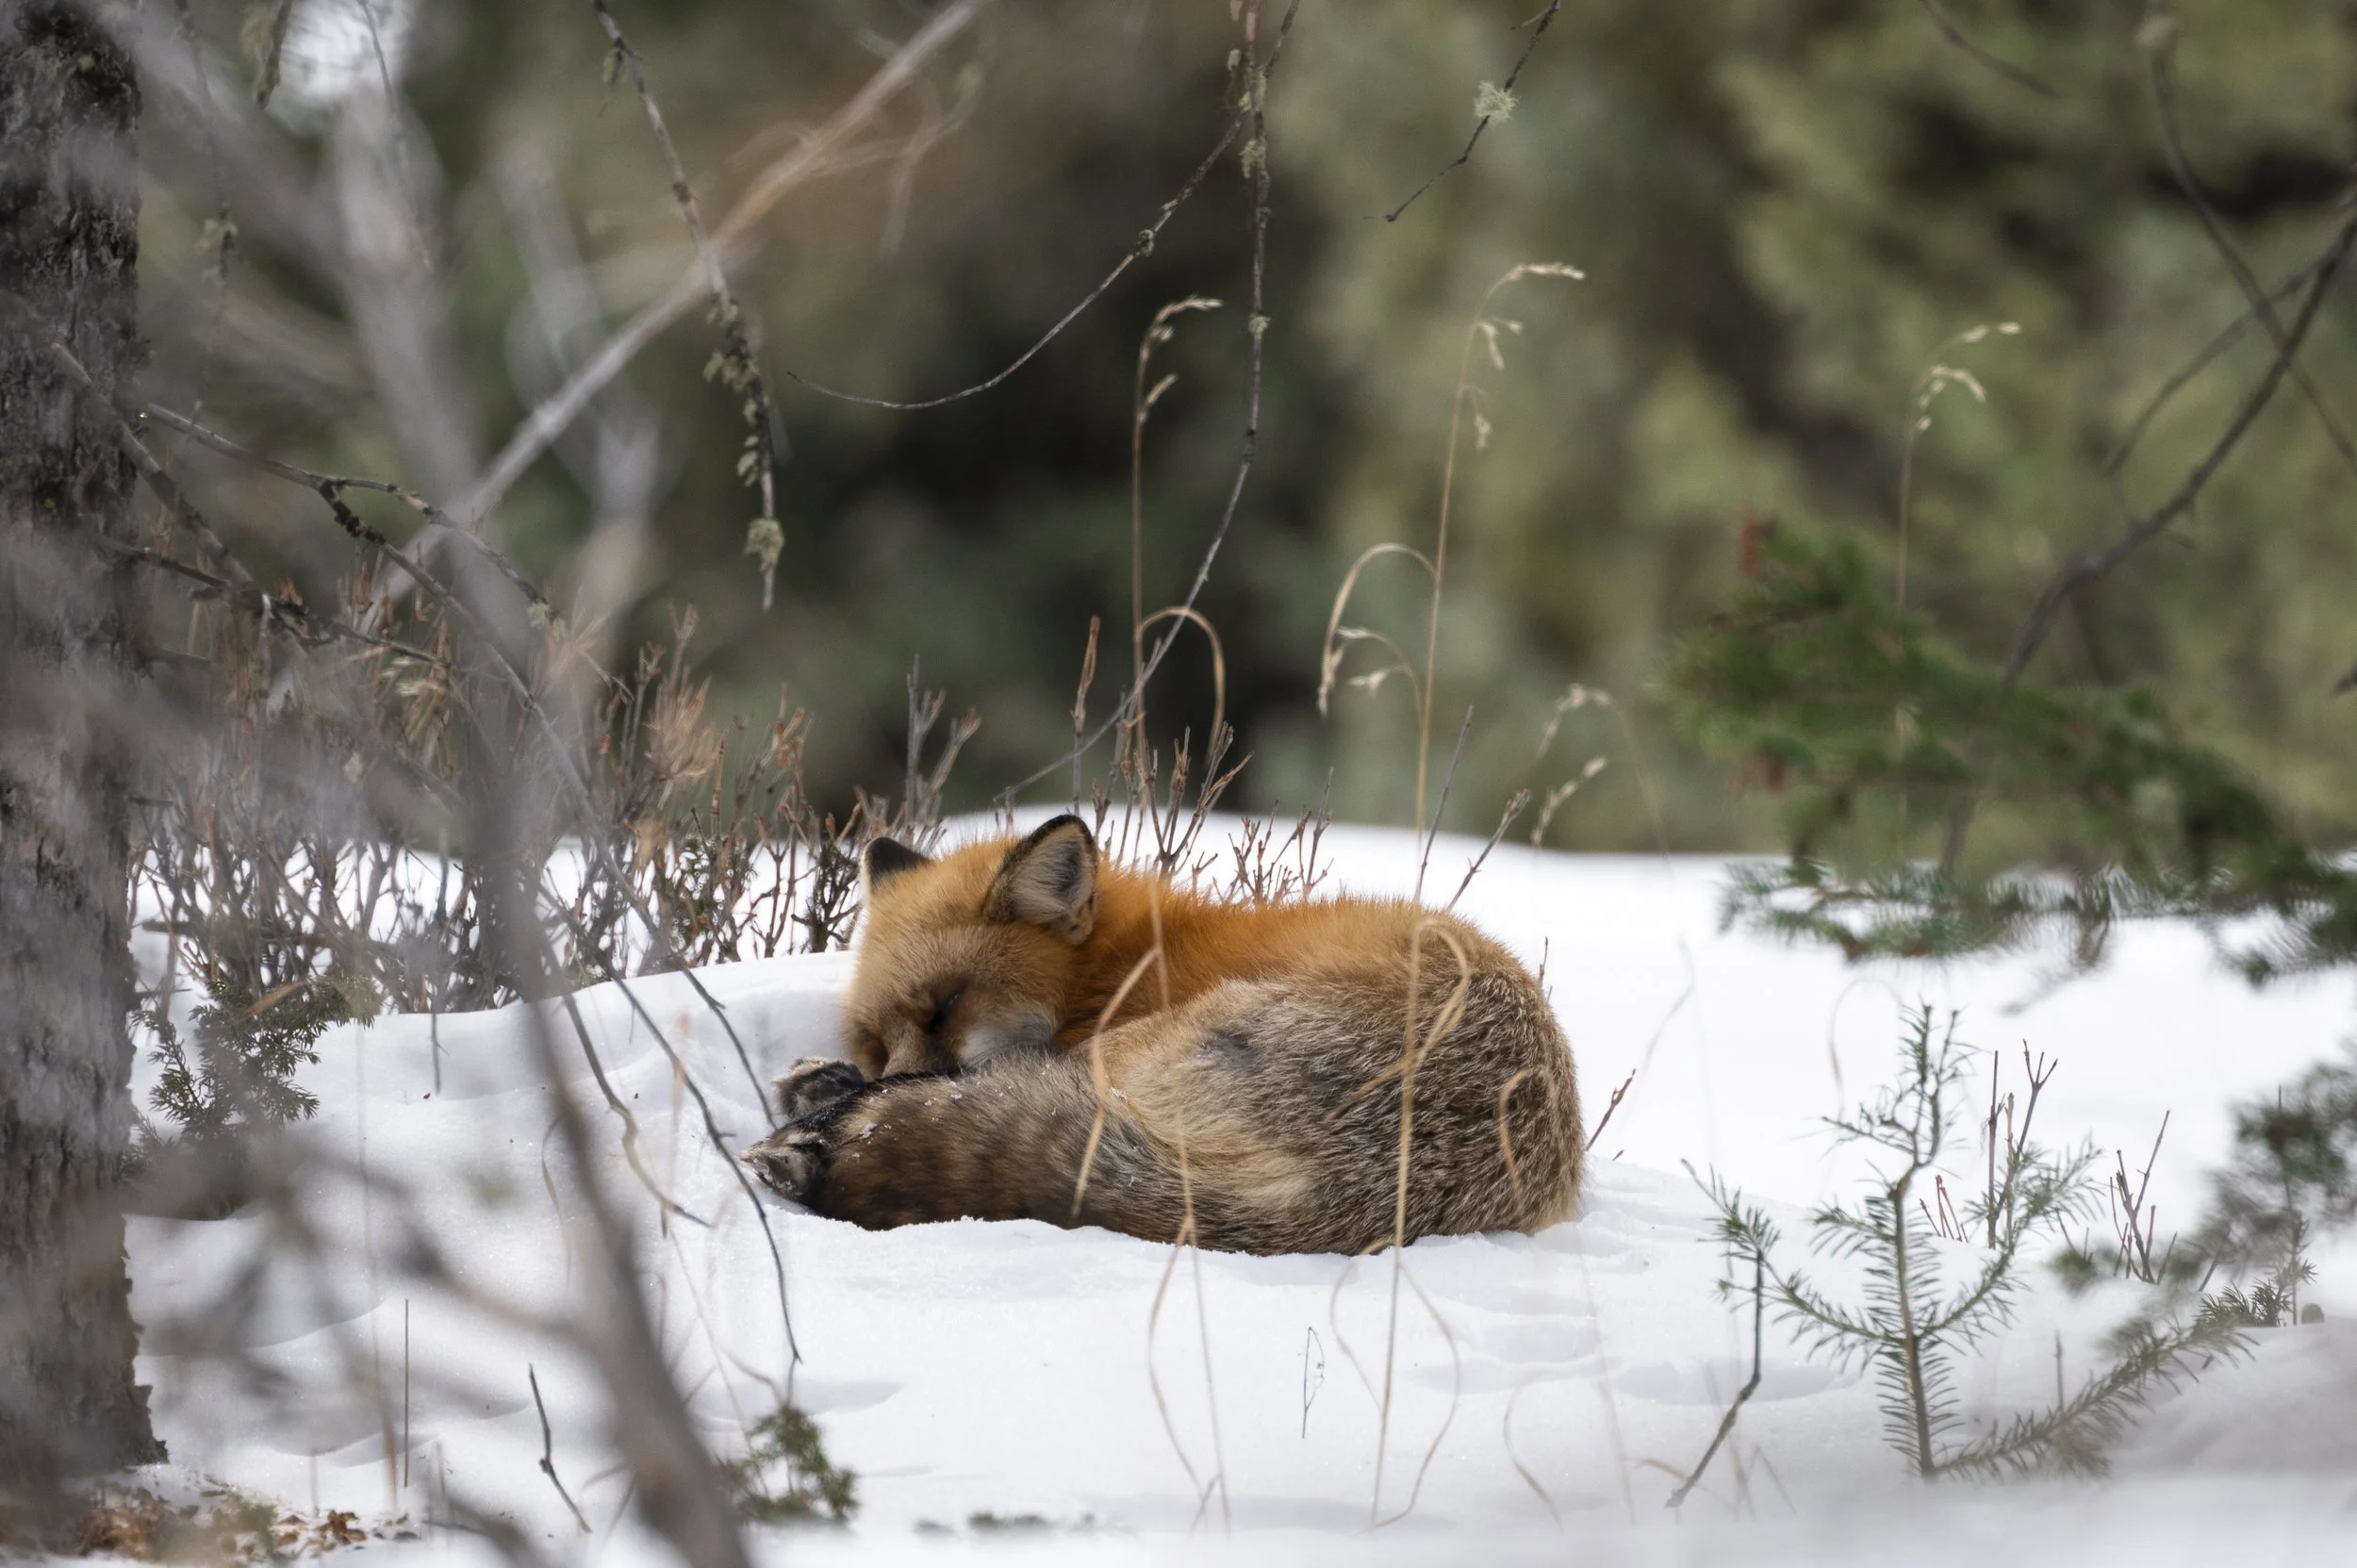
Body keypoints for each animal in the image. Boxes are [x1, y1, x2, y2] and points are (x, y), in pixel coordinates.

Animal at [740, 814, 1583, 1255]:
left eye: (947, 1005)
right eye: (876, 1038)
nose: (877, 1071)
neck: (1125, 964)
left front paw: (834, 1100)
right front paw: (836, 1081)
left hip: (1124, 1058)